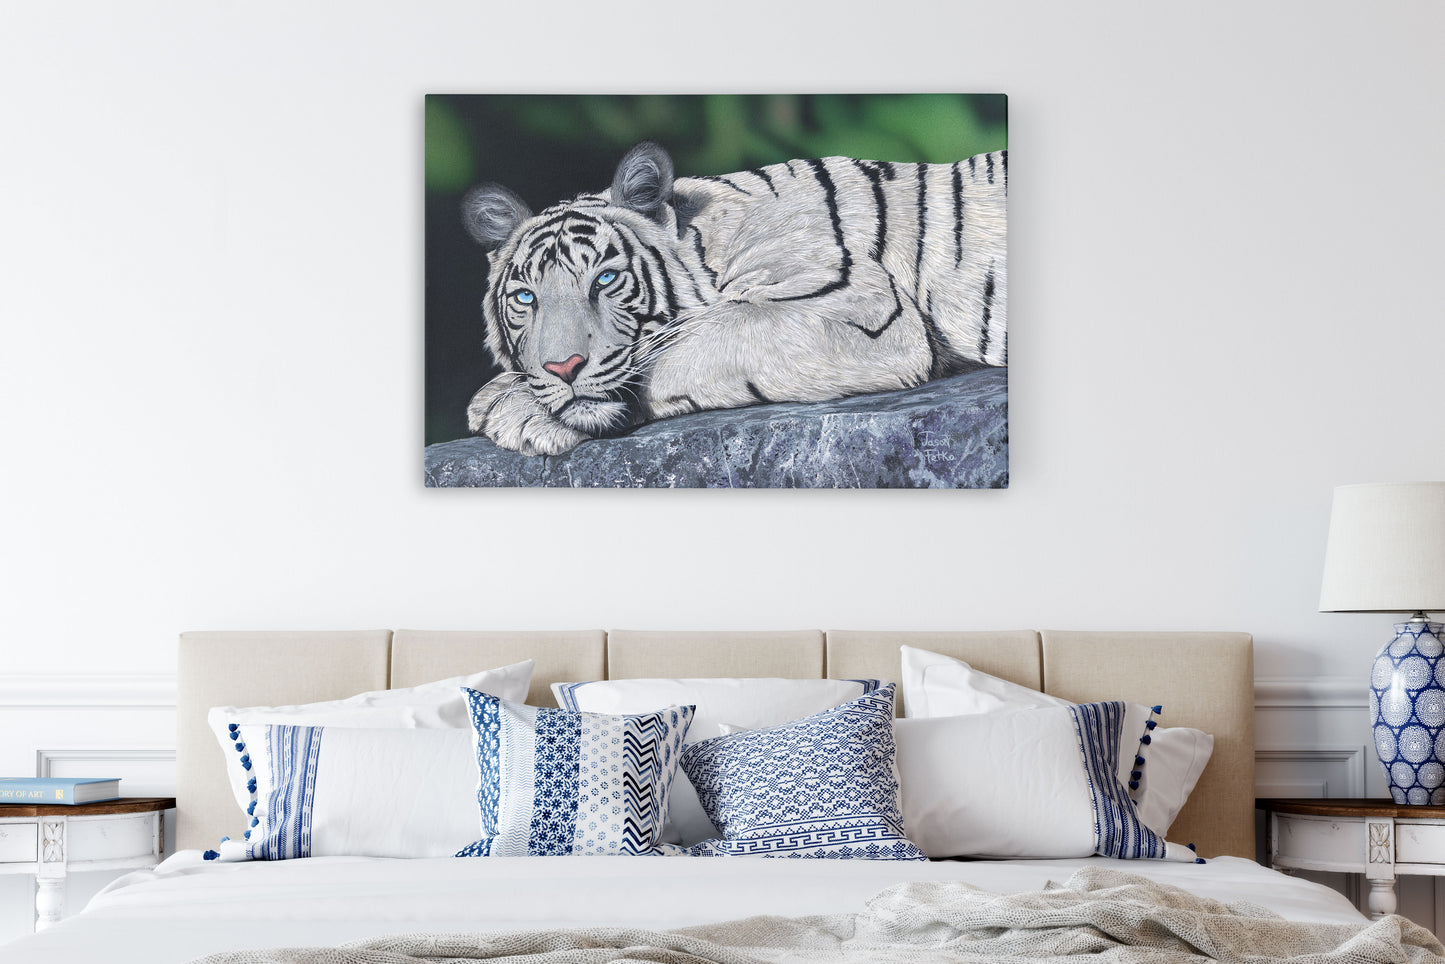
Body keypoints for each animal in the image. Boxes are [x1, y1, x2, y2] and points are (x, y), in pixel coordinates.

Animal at [460, 140, 1007, 456]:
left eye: (606, 280)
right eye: (526, 298)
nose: (563, 368)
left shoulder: (854, 304)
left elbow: (691, 342)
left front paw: (516, 410)